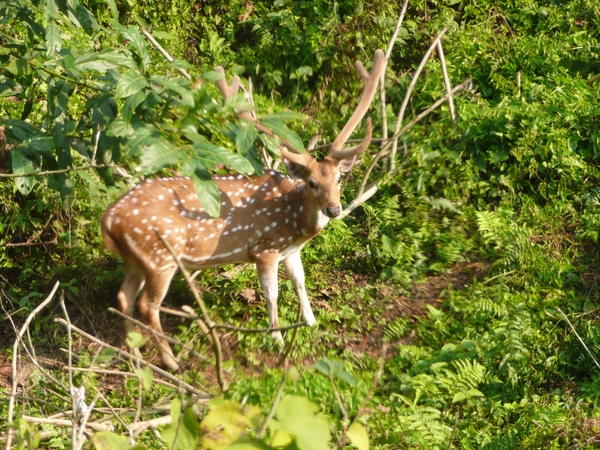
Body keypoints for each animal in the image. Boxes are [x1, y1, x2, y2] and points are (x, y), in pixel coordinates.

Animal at [102, 50, 384, 372]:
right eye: (311, 183)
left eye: (338, 179)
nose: (334, 209)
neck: (296, 223)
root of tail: (107, 220)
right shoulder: (265, 248)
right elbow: (272, 294)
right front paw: (277, 339)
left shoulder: (290, 250)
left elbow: (300, 282)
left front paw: (312, 323)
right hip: (161, 256)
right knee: (147, 304)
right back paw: (171, 362)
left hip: (137, 259)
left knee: (124, 297)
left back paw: (135, 357)